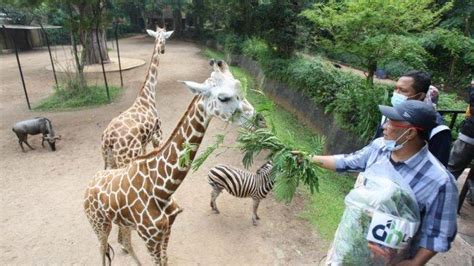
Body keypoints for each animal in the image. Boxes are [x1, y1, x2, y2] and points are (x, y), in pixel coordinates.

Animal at [85, 60, 256, 266]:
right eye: (223, 98)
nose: (258, 118)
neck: (162, 189)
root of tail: (89, 185)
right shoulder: (150, 238)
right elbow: (158, 262)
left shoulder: (167, 229)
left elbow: (165, 260)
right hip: (99, 223)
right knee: (102, 249)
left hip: (121, 221)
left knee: (125, 242)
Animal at [101, 26, 174, 169]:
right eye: (165, 39)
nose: (163, 50)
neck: (148, 94)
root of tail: (108, 139)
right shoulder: (158, 135)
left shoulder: (144, 142)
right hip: (126, 159)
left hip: (109, 160)